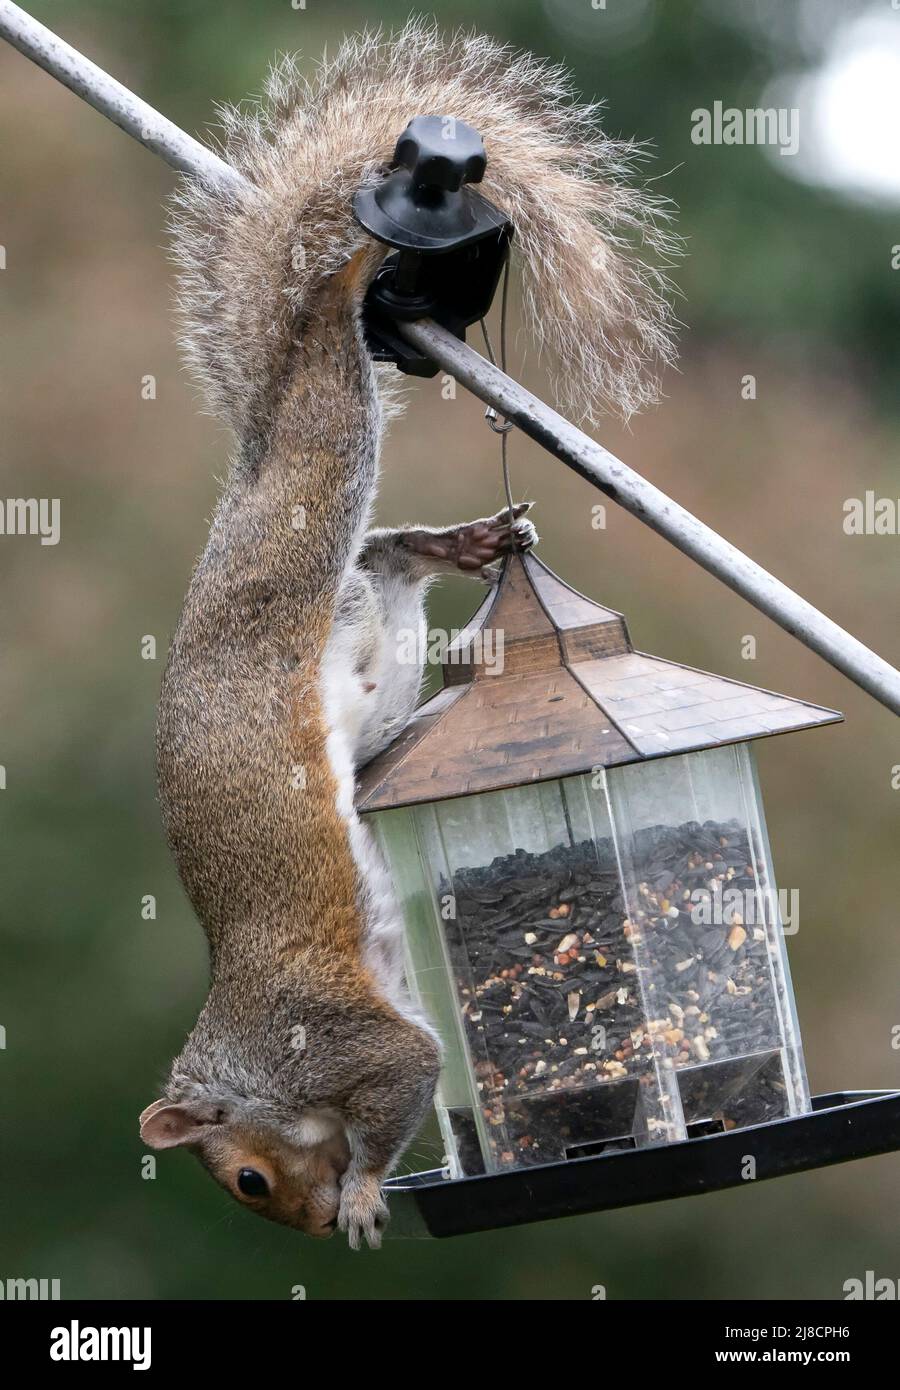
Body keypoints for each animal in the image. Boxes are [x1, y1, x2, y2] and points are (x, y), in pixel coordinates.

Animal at [138, 21, 676, 1249]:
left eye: (247, 1179)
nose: (302, 1222)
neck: (255, 1059)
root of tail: (250, 475)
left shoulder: (347, 1036)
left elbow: (407, 1073)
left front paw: (366, 1193)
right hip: (367, 641)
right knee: (385, 560)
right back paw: (465, 543)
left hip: (303, 513)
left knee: (336, 404)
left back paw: (343, 283)